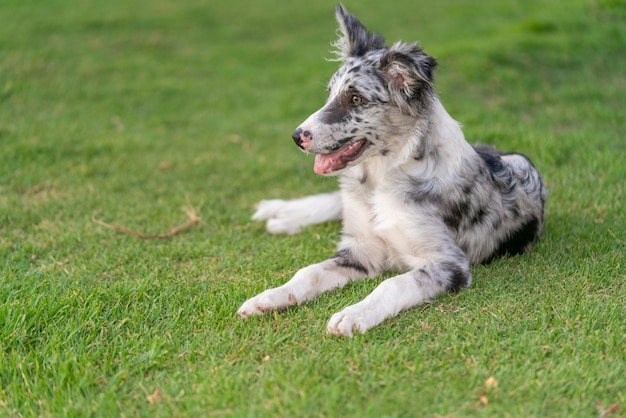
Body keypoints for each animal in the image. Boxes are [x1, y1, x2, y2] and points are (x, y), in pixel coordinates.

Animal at [236, 3, 544, 336]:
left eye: (356, 98)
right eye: (330, 94)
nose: (296, 137)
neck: (380, 177)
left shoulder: (448, 264)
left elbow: (392, 284)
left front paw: (353, 315)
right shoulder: (360, 249)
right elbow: (308, 272)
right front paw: (269, 298)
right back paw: (278, 212)